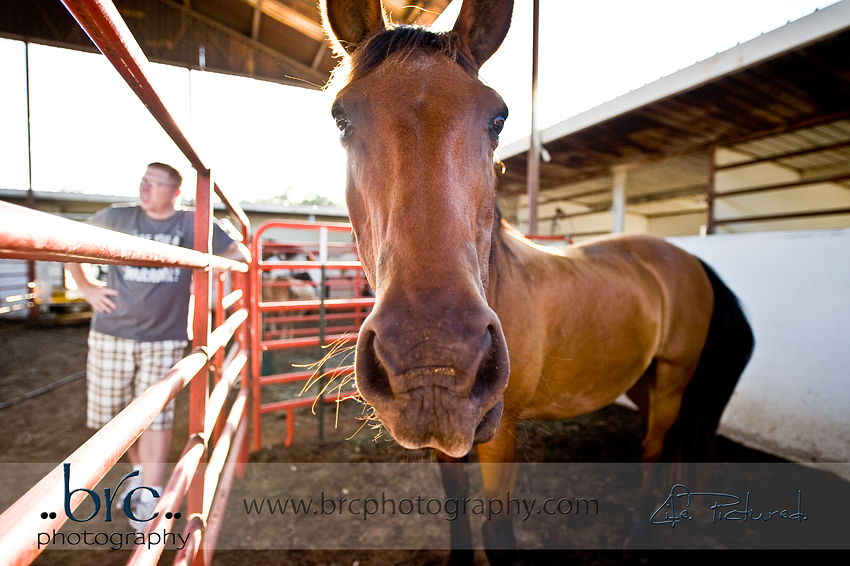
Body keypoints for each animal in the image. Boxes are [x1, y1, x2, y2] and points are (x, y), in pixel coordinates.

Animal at [320, 0, 754, 559]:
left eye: (499, 118)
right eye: (341, 117)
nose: (432, 361)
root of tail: (688, 260)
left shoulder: (501, 432)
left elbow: (496, 530)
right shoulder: (448, 443)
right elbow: (458, 515)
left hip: (674, 378)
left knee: (654, 449)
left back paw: (638, 534)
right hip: (647, 381)